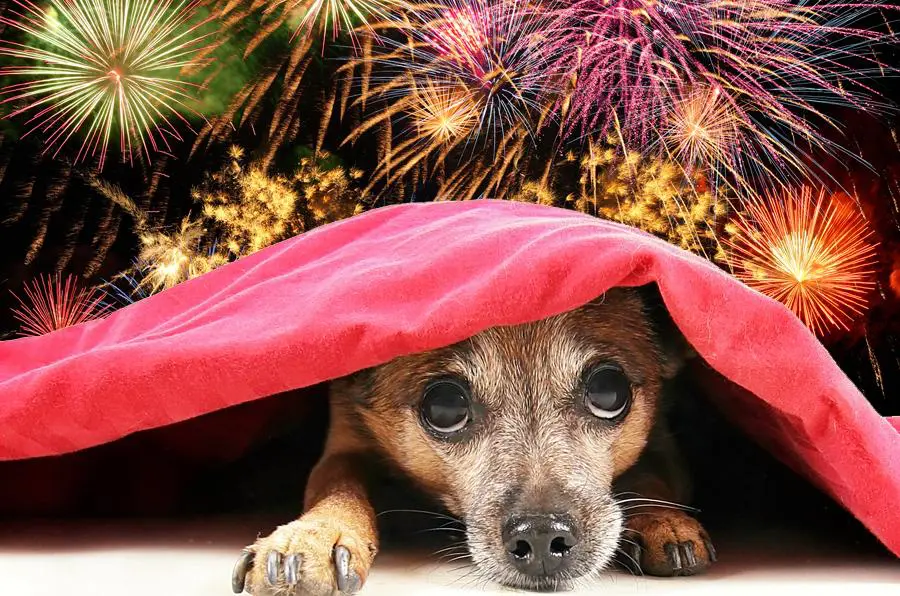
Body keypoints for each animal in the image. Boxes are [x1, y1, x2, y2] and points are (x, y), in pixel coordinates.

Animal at [232, 286, 716, 592]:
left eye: (608, 392)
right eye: (445, 406)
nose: (543, 537)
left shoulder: (664, 446)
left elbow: (651, 477)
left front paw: (662, 520)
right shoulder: (344, 447)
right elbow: (338, 487)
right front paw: (311, 536)